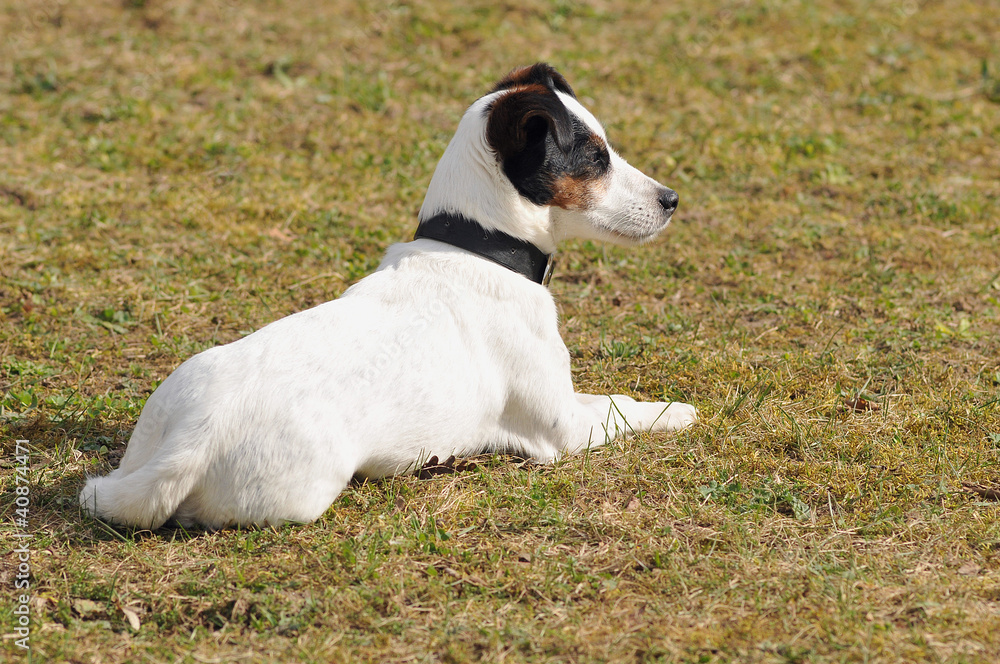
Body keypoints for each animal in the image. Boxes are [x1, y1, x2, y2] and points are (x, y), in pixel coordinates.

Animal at [80, 63, 696, 528]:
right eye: (596, 159)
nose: (672, 199)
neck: (479, 249)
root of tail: (193, 439)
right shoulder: (561, 429)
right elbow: (622, 408)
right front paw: (675, 411)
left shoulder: (567, 403)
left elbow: (607, 396)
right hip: (306, 491)